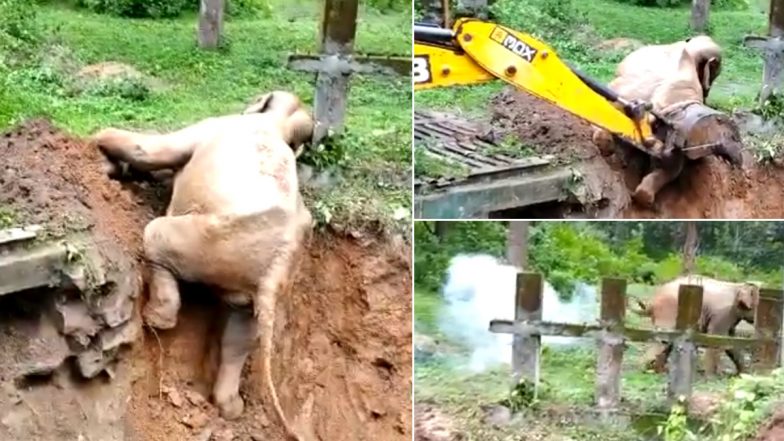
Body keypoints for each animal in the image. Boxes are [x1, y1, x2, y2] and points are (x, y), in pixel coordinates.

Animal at [89, 91, 316, 438]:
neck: (277, 124)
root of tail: (277, 265)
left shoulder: (211, 125)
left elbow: (153, 150)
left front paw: (98, 143)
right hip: (245, 278)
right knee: (241, 333)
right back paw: (231, 408)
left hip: (209, 242)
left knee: (155, 235)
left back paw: (156, 318)